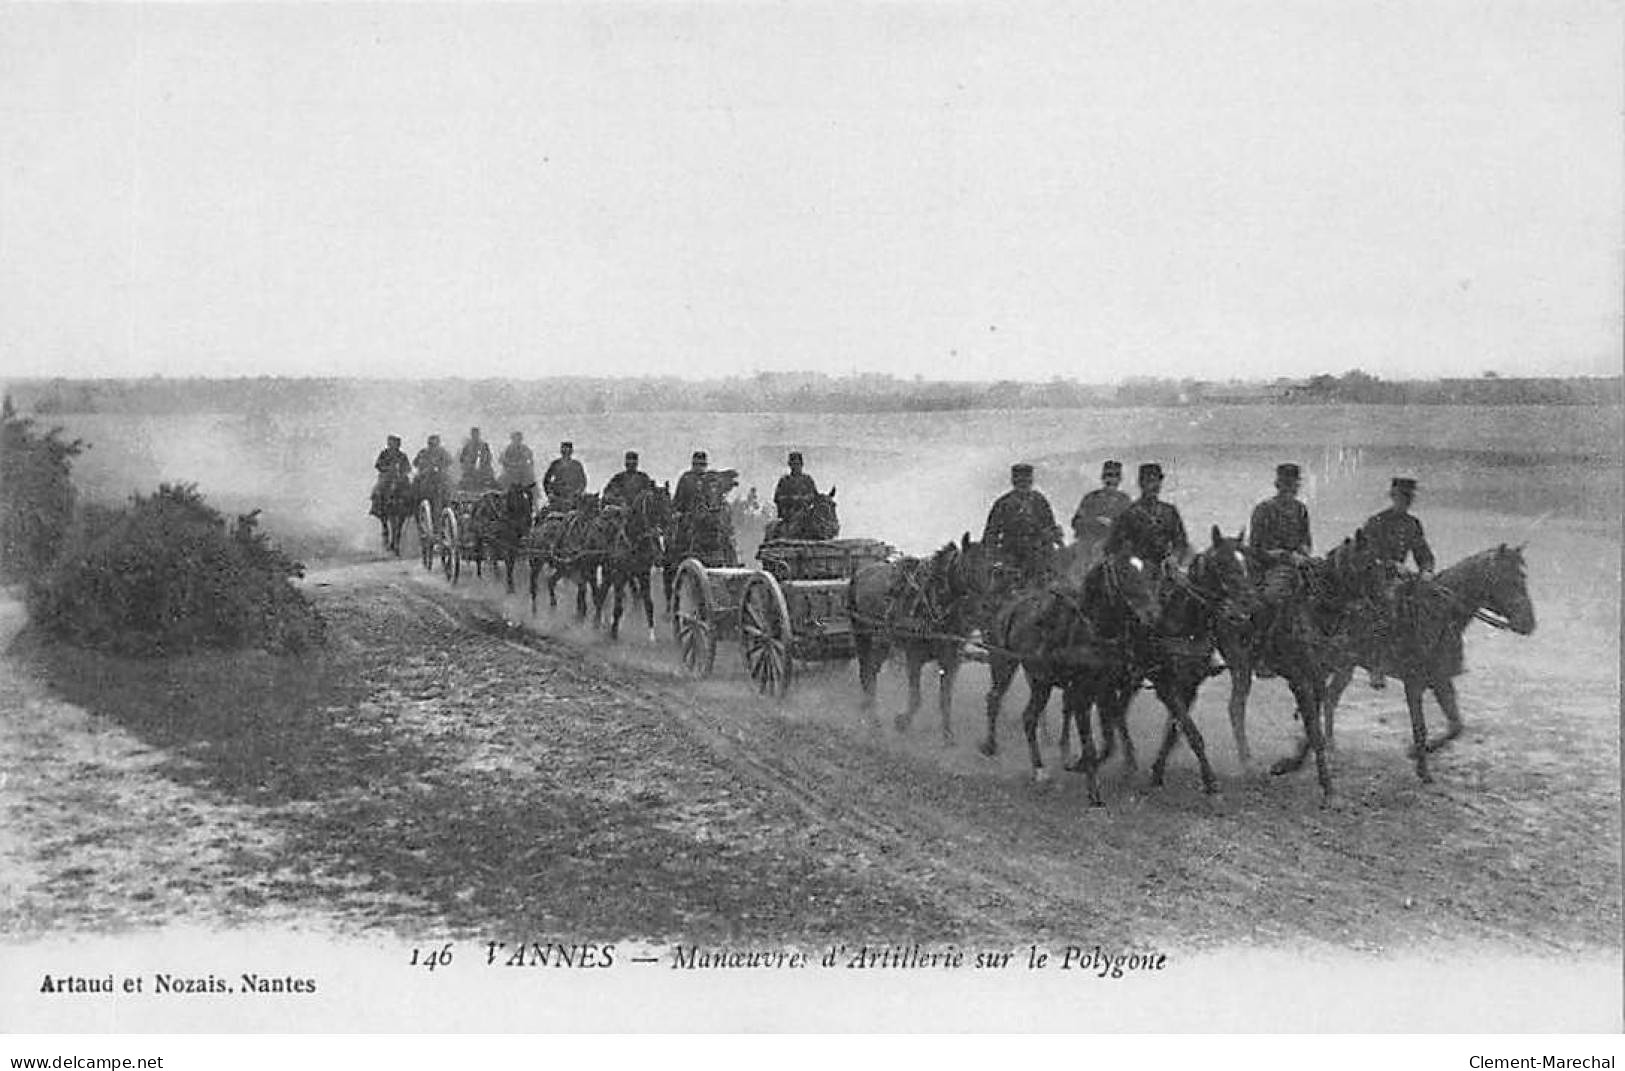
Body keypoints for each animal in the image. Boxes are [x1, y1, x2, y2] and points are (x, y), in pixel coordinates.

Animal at [598, 487, 672, 646]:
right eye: (658, 504)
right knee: (603, 594)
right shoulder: (619, 574)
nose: (670, 524)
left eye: (669, 503)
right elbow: (618, 606)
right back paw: (597, 623)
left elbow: (648, 603)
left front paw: (652, 636)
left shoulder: (643, 574)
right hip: (609, 571)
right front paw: (613, 633)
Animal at [845, 533, 994, 741]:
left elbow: (945, 699)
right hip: (864, 635)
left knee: (869, 671)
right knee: (868, 672)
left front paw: (948, 735)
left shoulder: (950, 660)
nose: (986, 607)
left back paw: (868, 707)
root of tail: (861, 573)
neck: (932, 600)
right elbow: (916, 698)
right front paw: (901, 722)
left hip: (882, 640)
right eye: (968, 568)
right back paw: (874, 719)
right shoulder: (914, 656)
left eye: (990, 569)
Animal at [975, 555, 1170, 793]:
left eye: (1149, 571)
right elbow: (1092, 737)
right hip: (1006, 666)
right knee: (998, 701)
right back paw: (1000, 750)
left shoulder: (1104, 689)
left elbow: (1109, 737)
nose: (1153, 613)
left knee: (1028, 716)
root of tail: (1011, 606)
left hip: (1039, 680)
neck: (1092, 631)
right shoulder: (1081, 691)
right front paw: (1087, 770)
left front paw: (1082, 762)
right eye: (1123, 573)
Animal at [1215, 533, 1391, 799]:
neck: (1318, 612)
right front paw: (1327, 786)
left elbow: (1312, 728)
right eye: (1369, 564)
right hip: (1241, 667)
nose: (1386, 600)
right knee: (1236, 708)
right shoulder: (1299, 680)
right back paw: (1246, 762)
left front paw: (1288, 764)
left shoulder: (1316, 679)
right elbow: (1314, 730)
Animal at [1319, 546, 1534, 780]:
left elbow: (1455, 725)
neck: (1439, 614)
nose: (1529, 623)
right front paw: (1422, 769)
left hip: (1345, 667)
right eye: (1508, 579)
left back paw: (1329, 745)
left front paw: (1416, 754)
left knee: (1329, 699)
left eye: (1523, 577)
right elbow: (1419, 726)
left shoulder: (1441, 680)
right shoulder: (1413, 683)